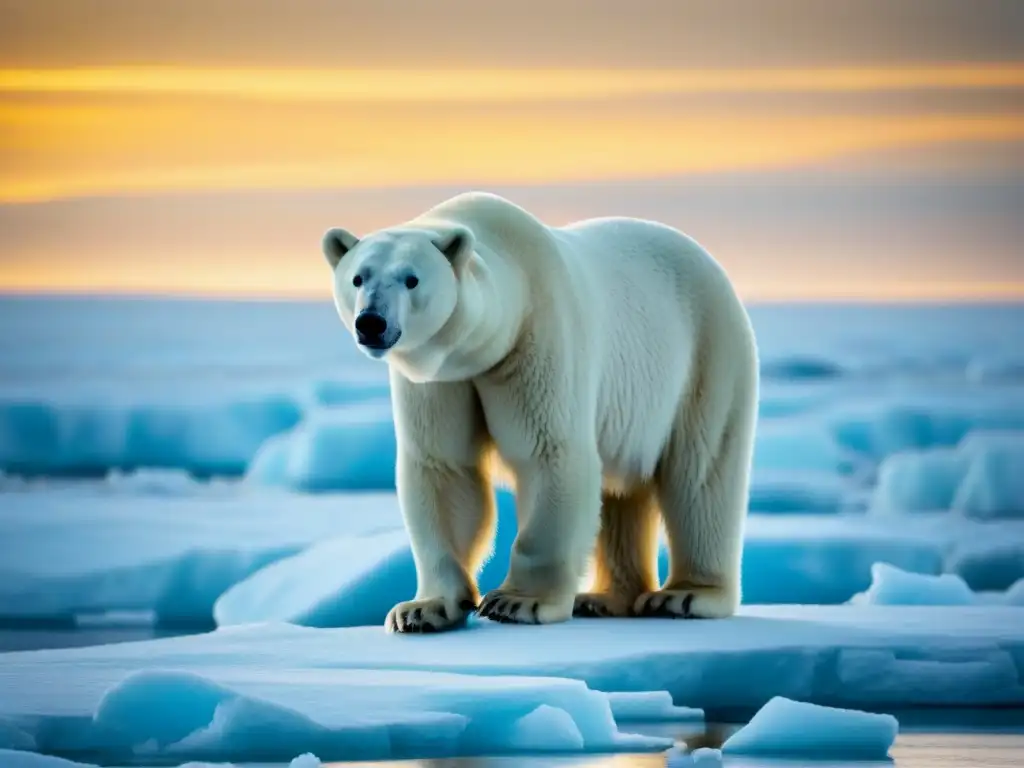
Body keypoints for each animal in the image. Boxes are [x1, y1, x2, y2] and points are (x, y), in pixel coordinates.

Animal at [321, 191, 761, 630]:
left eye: (411, 279)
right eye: (358, 277)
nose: (371, 322)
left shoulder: (538, 336)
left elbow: (547, 452)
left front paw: (517, 602)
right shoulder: (440, 379)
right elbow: (444, 467)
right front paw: (421, 609)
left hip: (706, 354)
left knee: (700, 471)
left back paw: (685, 595)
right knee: (623, 491)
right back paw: (603, 598)